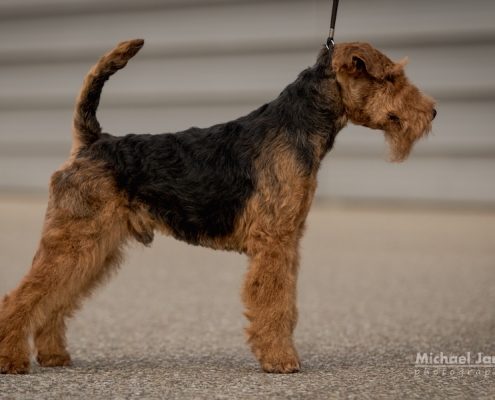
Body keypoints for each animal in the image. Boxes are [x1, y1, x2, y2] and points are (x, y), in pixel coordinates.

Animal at [0, 39, 436, 374]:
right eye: (392, 76)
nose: (432, 111)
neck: (299, 124)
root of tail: (90, 143)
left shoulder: (288, 240)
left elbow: (287, 305)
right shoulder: (273, 240)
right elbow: (273, 303)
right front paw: (281, 361)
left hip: (95, 247)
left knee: (56, 299)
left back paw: (54, 355)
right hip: (76, 239)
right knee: (23, 297)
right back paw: (12, 360)